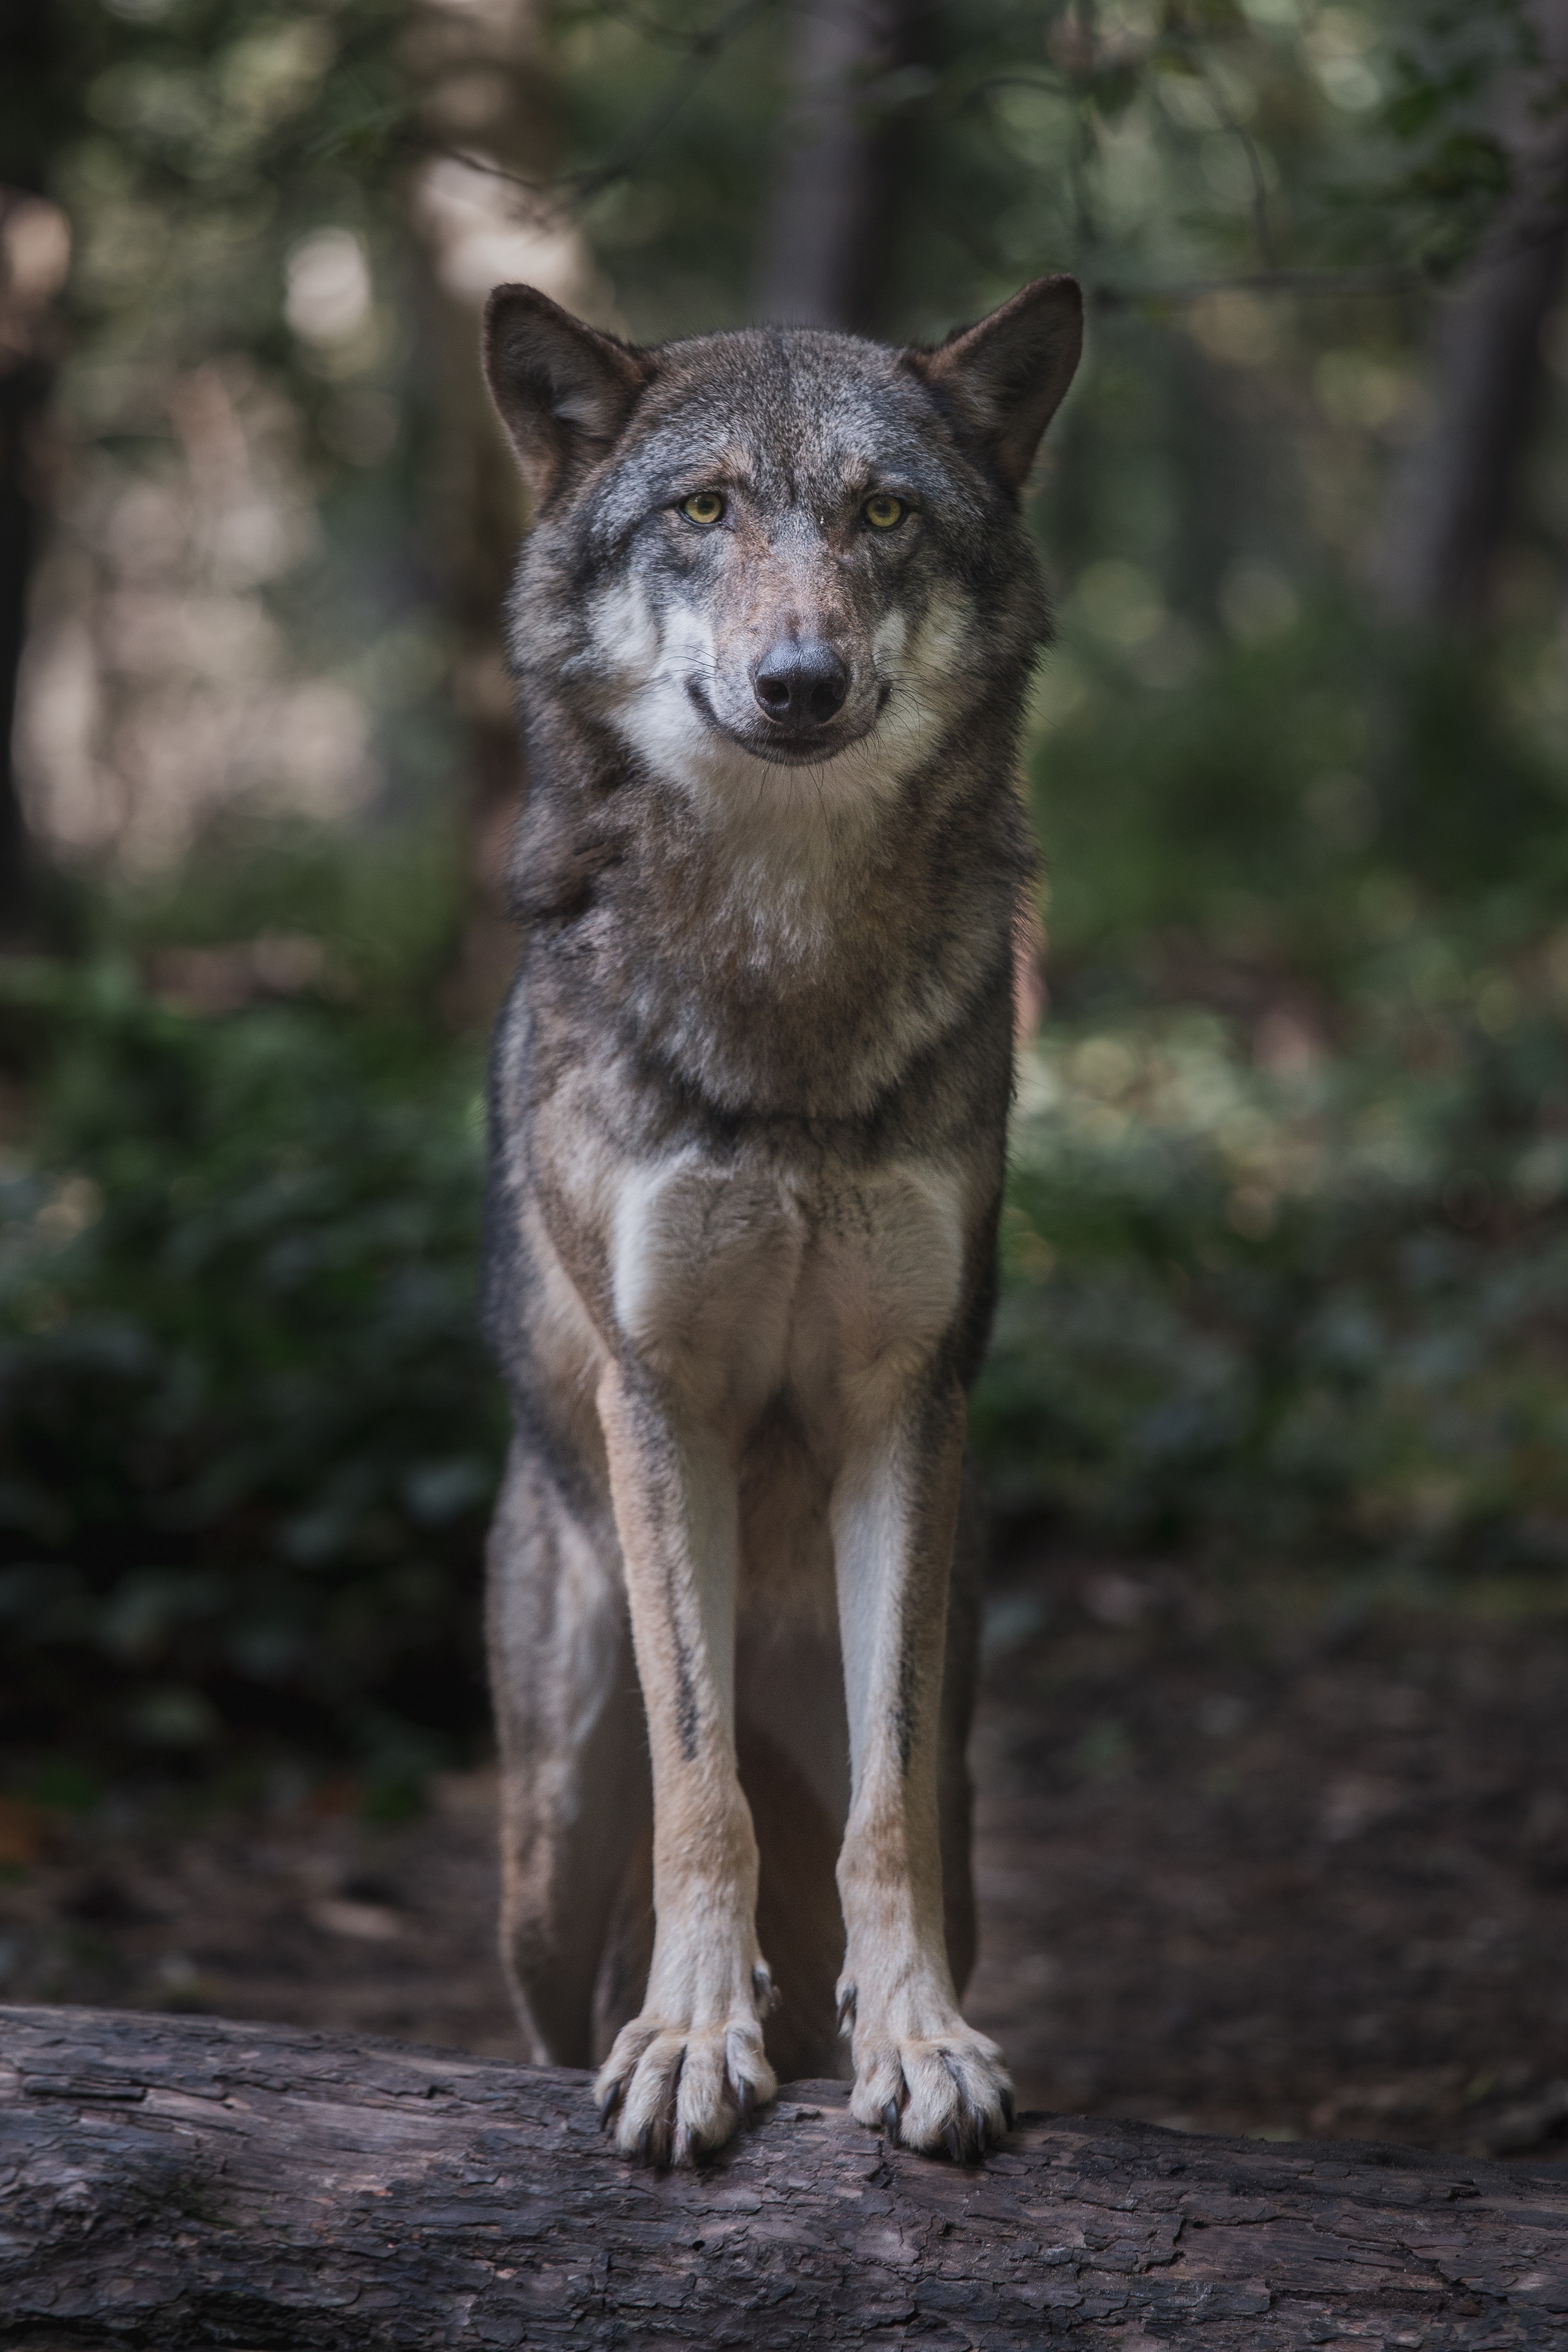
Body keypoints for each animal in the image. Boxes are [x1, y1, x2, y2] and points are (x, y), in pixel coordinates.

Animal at [484, 275, 1086, 2164]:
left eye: (881, 514)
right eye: (703, 509)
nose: (799, 678)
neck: (787, 967)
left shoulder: (905, 1401)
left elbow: (877, 1816)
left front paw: (922, 2043)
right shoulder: (657, 1388)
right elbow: (702, 1795)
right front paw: (688, 2041)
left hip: (936, 1752)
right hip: (549, 1828)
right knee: (572, 1957)